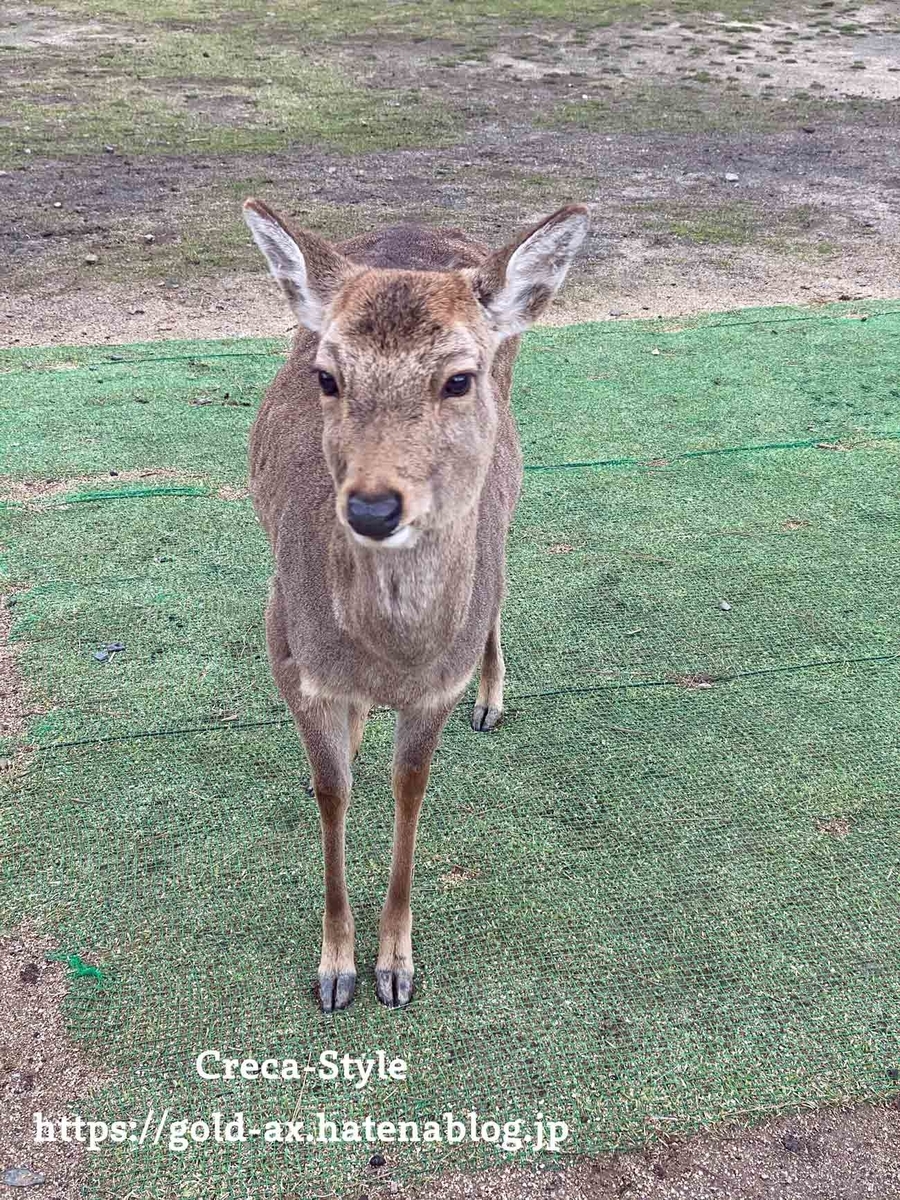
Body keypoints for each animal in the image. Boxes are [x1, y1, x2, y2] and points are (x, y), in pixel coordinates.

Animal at [243, 198, 589, 1011]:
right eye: (326, 375)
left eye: (459, 379)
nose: (371, 507)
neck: (386, 657)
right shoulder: (288, 655)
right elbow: (331, 791)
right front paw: (335, 970)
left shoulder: (435, 688)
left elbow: (410, 793)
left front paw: (393, 967)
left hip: (507, 496)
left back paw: (492, 700)